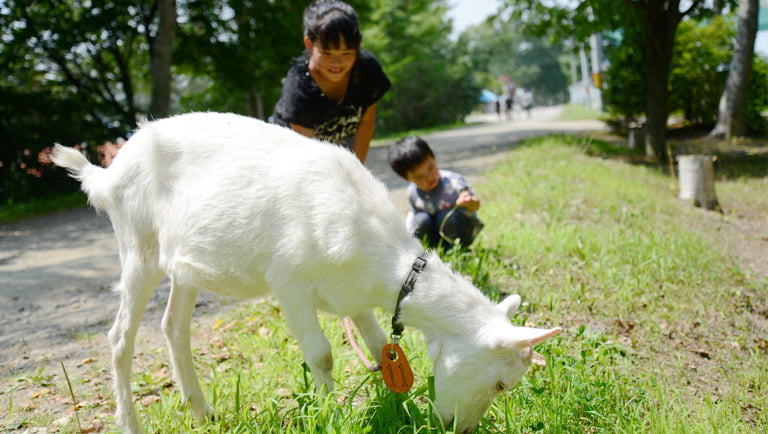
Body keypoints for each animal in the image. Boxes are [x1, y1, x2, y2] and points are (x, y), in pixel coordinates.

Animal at [51, 112, 560, 434]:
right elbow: (322, 355)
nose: (461, 427)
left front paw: (401, 407)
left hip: (185, 266)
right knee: (120, 337)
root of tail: (108, 174)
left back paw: (203, 412)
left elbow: (381, 347)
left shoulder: (356, 296)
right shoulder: (290, 284)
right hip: (138, 245)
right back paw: (131, 423)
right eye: (500, 383)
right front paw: (333, 413)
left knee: (173, 325)